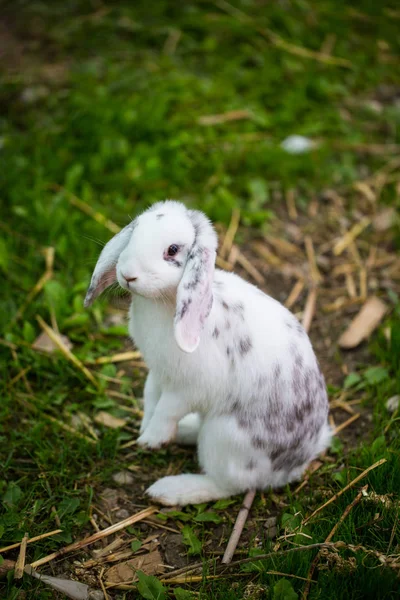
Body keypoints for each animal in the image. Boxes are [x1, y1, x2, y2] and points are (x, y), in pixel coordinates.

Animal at [84, 202, 332, 506]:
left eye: (173, 250)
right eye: (135, 232)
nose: (128, 274)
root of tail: (299, 461)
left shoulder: (188, 388)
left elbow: (166, 410)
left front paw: (151, 440)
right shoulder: (158, 374)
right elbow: (150, 397)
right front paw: (145, 429)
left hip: (224, 438)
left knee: (228, 484)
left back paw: (169, 490)